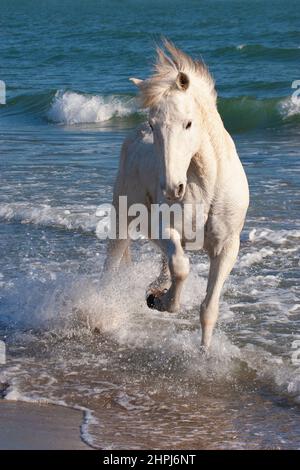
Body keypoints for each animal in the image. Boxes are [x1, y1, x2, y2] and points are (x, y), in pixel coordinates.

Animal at [103, 41, 248, 348]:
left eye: (188, 123)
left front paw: (204, 352)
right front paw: (160, 301)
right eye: (153, 124)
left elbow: (209, 308)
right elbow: (181, 266)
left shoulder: (227, 247)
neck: (208, 187)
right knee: (111, 266)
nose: (173, 188)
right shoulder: (167, 229)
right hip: (122, 221)